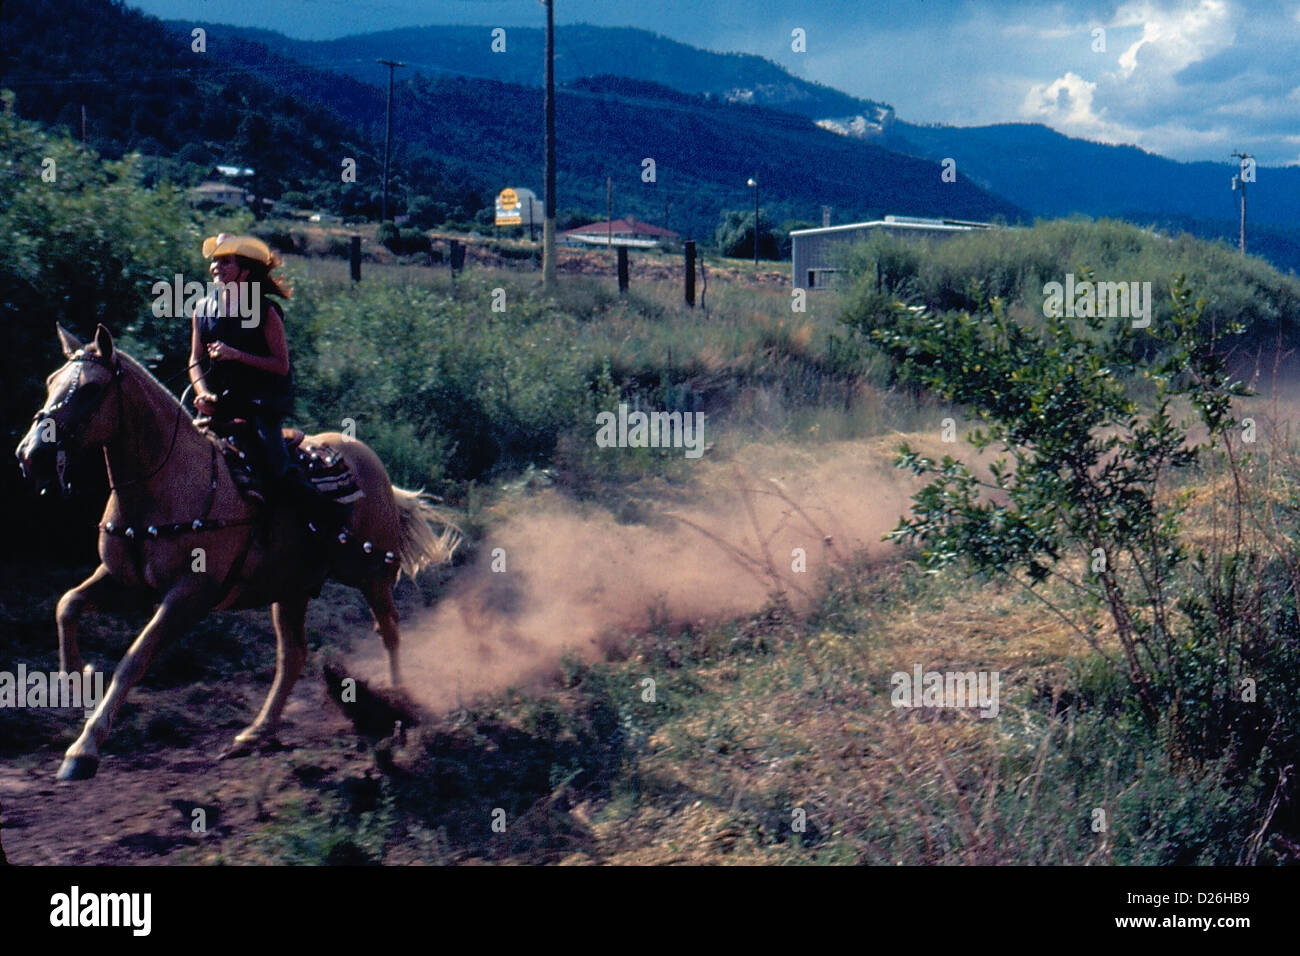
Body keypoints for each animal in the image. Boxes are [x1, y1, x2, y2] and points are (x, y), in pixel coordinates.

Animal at [15, 325, 460, 780]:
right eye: (51, 381)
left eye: (91, 388)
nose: (31, 454)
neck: (167, 485)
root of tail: (373, 464)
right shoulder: (126, 582)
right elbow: (68, 605)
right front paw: (76, 676)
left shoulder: (189, 596)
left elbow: (134, 658)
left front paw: (83, 750)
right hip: (291, 589)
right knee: (294, 654)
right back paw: (258, 731)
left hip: (370, 573)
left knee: (388, 629)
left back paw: (398, 712)